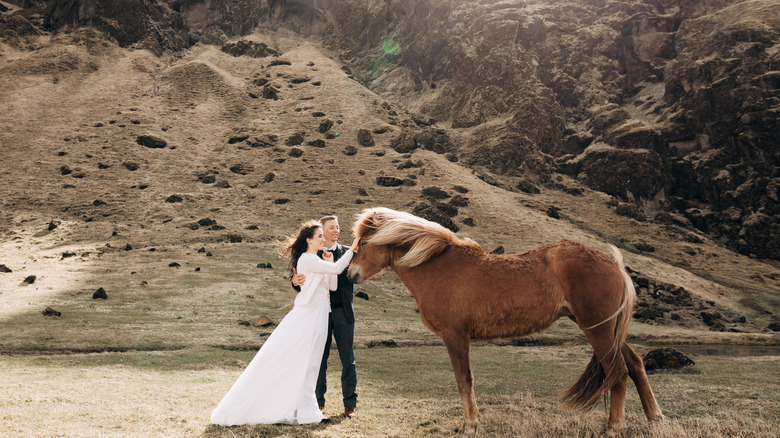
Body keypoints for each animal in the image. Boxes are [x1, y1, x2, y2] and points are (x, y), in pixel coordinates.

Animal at [350, 208, 660, 434]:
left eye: (363, 243)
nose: (351, 274)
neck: (435, 266)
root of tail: (615, 265)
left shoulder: (455, 336)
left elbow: (464, 380)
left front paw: (471, 426)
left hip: (598, 330)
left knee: (618, 371)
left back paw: (614, 428)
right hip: (607, 330)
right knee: (635, 364)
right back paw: (654, 419)